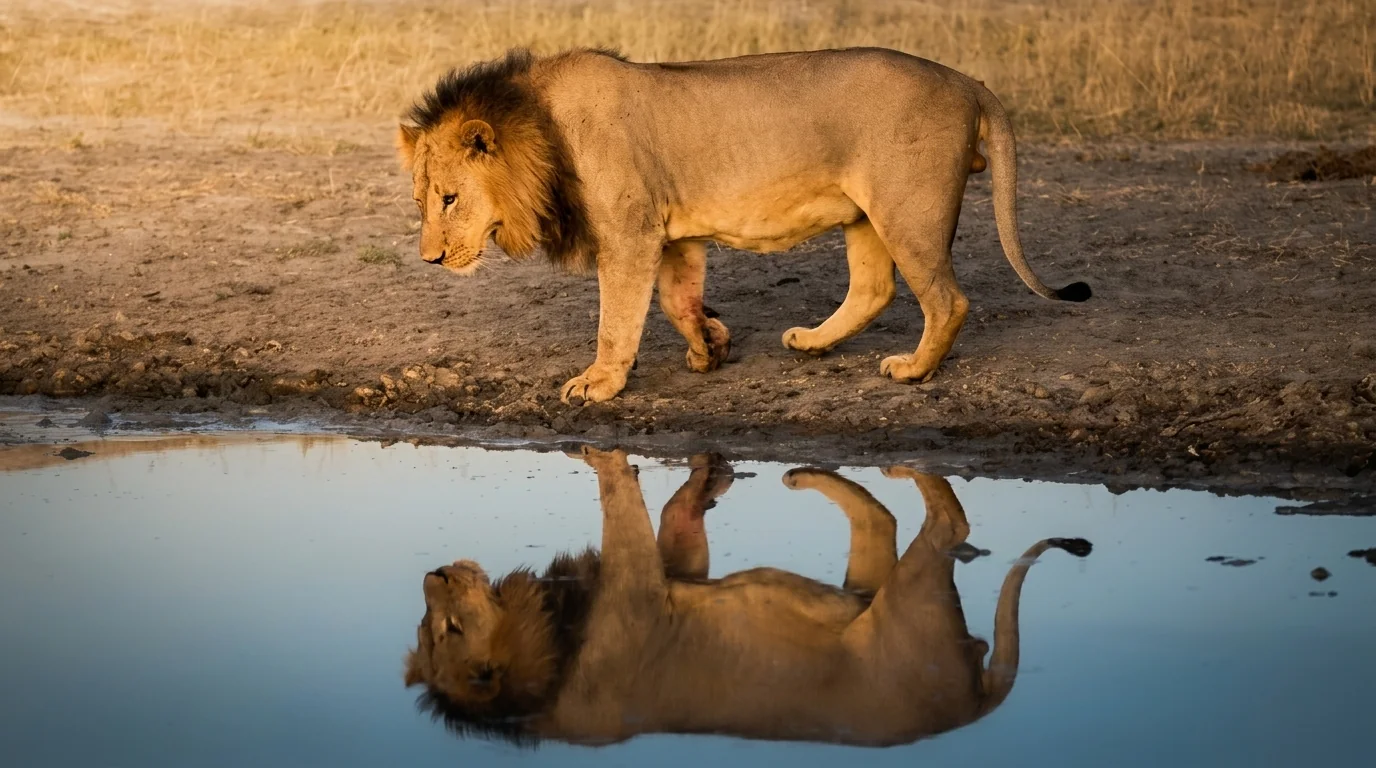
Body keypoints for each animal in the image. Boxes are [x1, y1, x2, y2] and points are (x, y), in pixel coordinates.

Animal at [396, 47, 1091, 404]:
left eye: (451, 199)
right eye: (421, 200)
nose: (429, 260)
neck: (537, 124)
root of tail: (967, 80)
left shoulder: (629, 233)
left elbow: (616, 320)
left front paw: (599, 382)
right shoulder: (671, 233)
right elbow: (676, 301)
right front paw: (710, 346)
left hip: (907, 211)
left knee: (948, 300)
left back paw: (914, 370)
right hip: (865, 214)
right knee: (874, 289)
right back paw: (811, 342)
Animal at [403, 447, 1092, 747]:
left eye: (445, 630)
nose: (431, 576)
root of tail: (969, 709)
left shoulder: (652, 582)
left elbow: (639, 505)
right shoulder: (651, 586)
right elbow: (648, 516)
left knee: (920, 522)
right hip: (902, 602)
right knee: (927, 525)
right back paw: (830, 472)